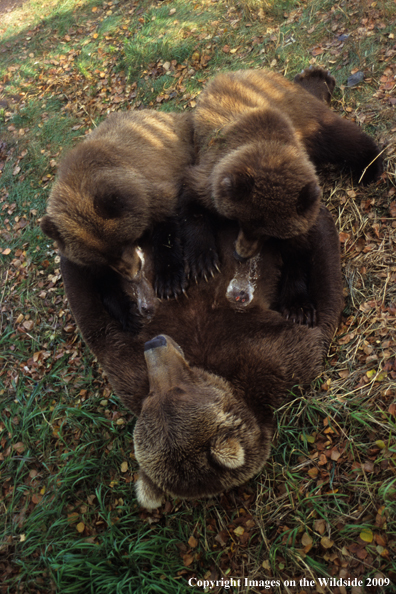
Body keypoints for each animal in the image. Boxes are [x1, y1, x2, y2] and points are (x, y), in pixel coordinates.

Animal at [41, 108, 194, 298]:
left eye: (122, 245)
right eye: (103, 259)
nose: (133, 274)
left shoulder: (152, 190)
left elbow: (166, 223)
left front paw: (169, 281)